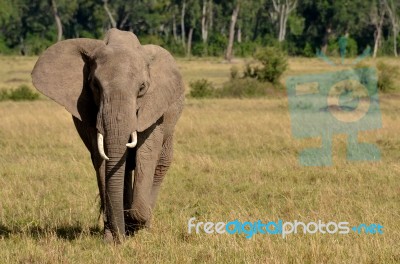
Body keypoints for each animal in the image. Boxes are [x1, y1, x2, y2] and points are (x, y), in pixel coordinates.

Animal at [30, 28, 184, 243]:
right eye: (95, 85)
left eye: (142, 88)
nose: (122, 237)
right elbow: (102, 159)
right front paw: (115, 237)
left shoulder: (153, 108)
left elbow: (146, 154)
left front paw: (135, 222)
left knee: (160, 164)